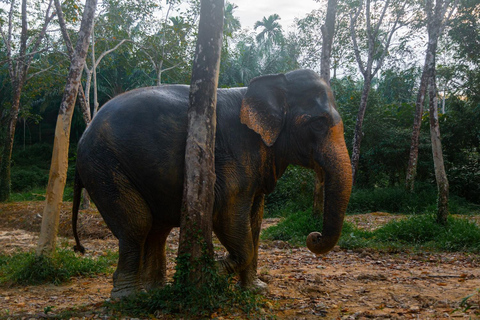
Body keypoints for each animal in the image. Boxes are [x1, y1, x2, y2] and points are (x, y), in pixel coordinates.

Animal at [72, 69, 352, 298]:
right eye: (319, 123)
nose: (314, 236)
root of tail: (82, 139)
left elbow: (255, 220)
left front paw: (255, 290)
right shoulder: (233, 154)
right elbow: (226, 216)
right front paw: (204, 275)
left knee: (157, 229)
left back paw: (154, 292)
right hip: (103, 166)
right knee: (137, 224)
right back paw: (129, 298)